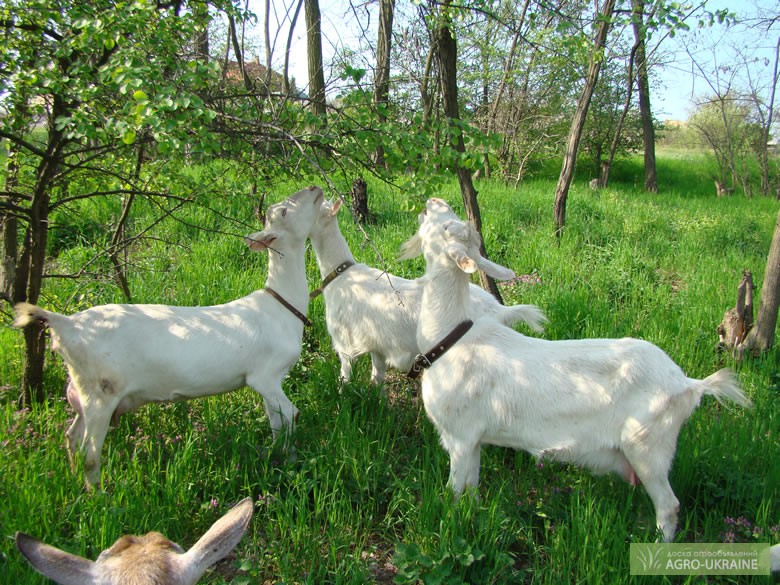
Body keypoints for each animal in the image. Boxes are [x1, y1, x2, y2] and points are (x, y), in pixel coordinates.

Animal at [15, 185, 326, 486]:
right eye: (283, 211)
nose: (314, 187)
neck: (281, 304)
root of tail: (66, 323)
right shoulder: (265, 375)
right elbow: (291, 414)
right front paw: (291, 460)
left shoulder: (268, 383)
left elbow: (276, 420)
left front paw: (278, 455)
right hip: (100, 394)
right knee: (90, 455)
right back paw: (99, 496)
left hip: (83, 395)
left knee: (71, 439)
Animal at [308, 198, 544, 386]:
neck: (340, 274)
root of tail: (500, 311)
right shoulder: (378, 345)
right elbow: (377, 377)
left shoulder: (344, 342)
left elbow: (345, 376)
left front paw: (342, 395)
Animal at [400, 197, 752, 544]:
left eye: (448, 225)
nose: (433, 200)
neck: (450, 338)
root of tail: (689, 385)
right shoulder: (474, 440)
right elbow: (472, 491)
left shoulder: (459, 435)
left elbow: (455, 491)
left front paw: (451, 522)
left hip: (647, 444)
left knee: (669, 505)